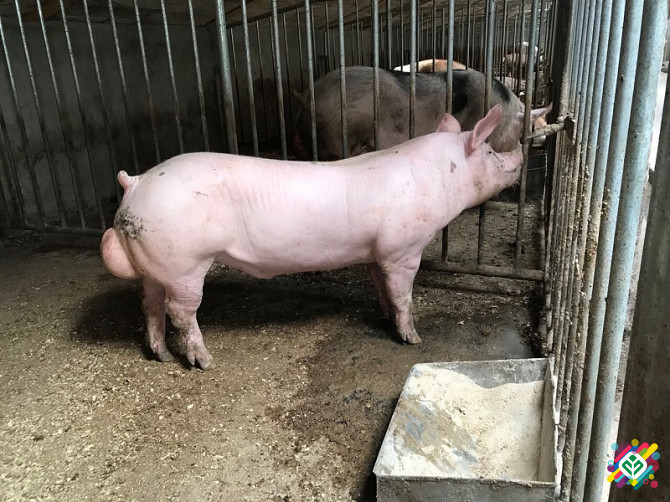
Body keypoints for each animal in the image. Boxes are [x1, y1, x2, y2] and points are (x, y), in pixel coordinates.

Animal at [100, 105, 523, 370]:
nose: (519, 158)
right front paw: (412, 338)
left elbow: (382, 287)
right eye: (489, 151)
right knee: (180, 312)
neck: (437, 179)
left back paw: (159, 356)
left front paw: (384, 315)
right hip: (185, 262)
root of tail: (135, 185)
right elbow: (403, 294)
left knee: (149, 303)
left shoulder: (376, 253)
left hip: (157, 265)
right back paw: (204, 362)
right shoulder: (402, 249)